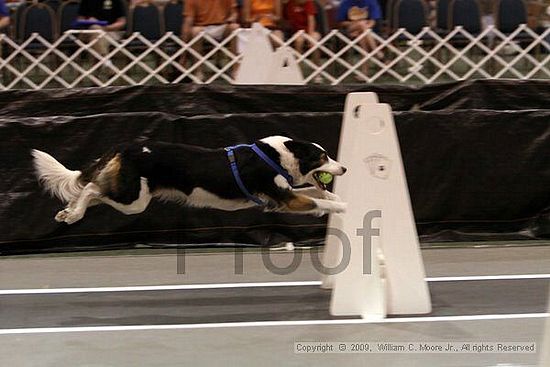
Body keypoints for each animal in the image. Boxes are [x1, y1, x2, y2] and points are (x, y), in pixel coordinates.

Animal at [31, 137, 350, 226]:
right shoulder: (284, 198)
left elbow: (315, 193)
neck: (279, 156)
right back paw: (74, 214)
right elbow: (315, 200)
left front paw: (334, 199)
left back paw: (68, 212)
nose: (344, 168)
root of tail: (125, 146)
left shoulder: (279, 198)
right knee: (91, 188)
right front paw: (343, 206)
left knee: (93, 191)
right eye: (323, 156)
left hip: (129, 195)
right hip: (134, 200)